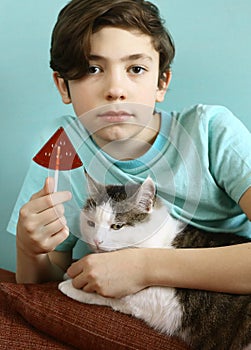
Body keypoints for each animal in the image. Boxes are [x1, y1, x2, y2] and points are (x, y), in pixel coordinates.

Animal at [59, 174, 251, 348]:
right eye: (91, 223)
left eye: (117, 226)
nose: (96, 241)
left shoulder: (165, 301)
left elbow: (117, 296)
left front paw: (70, 286)